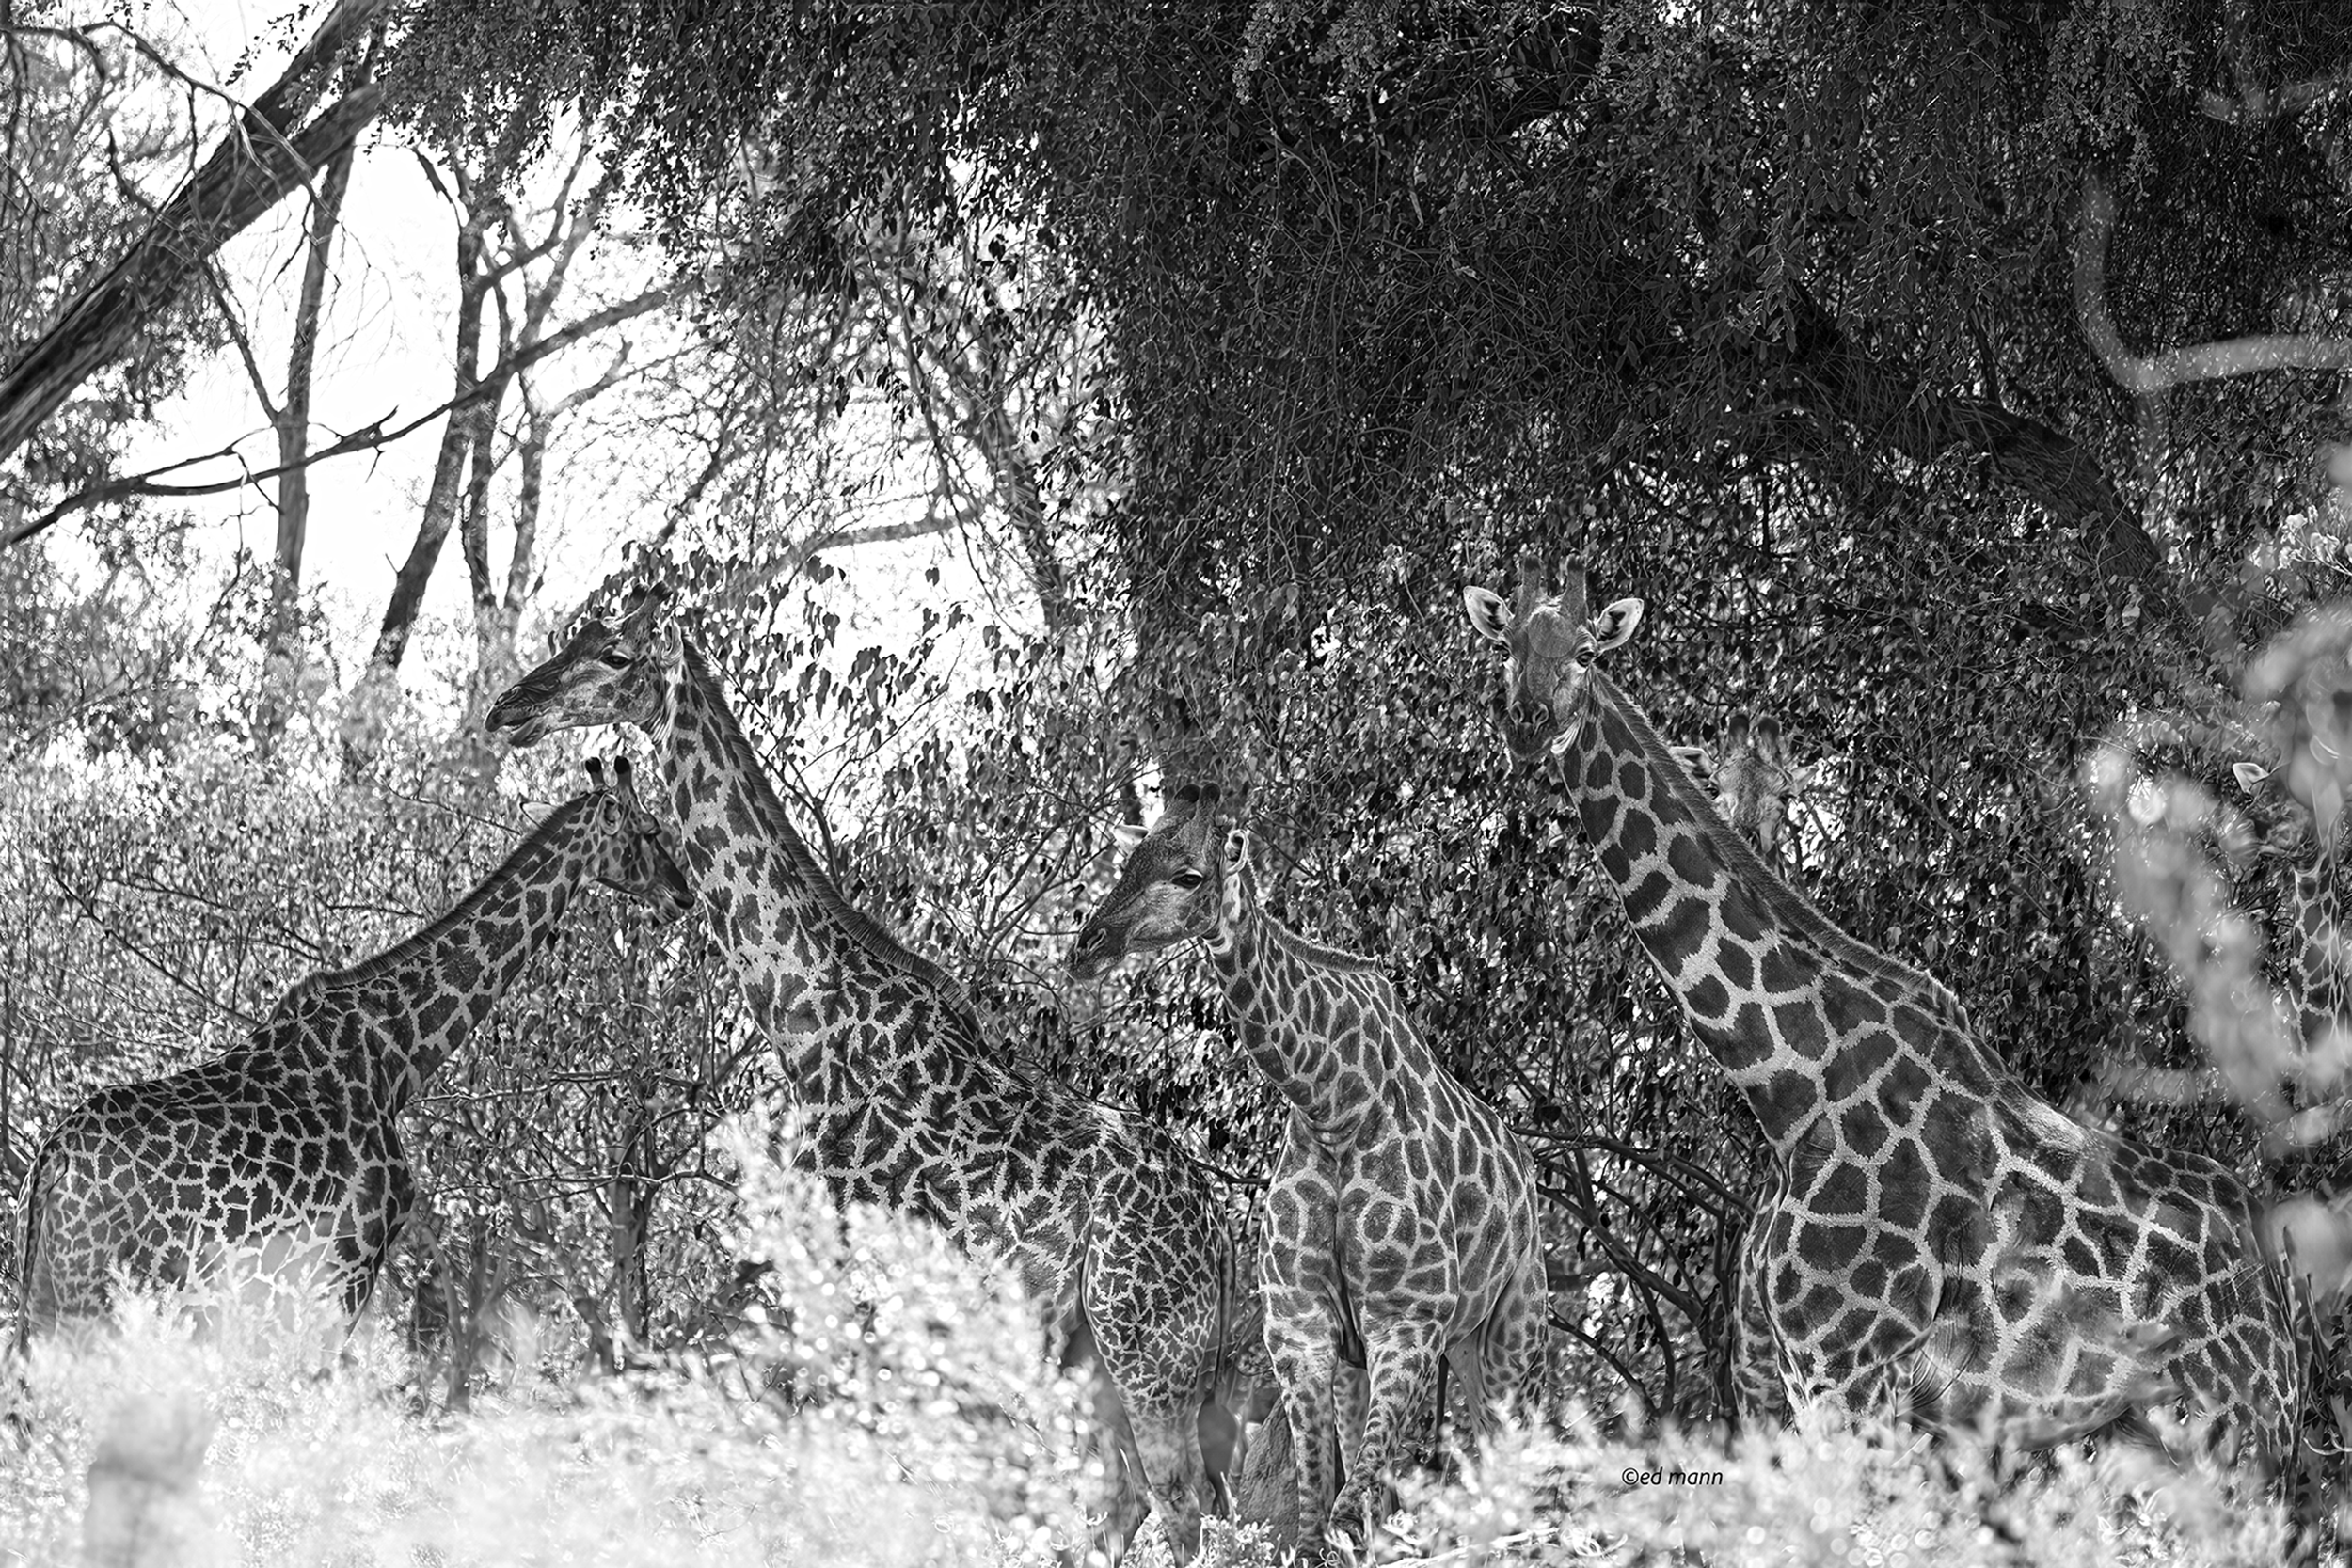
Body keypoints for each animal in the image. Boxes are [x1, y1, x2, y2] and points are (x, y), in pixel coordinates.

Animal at [12, 757, 695, 1346]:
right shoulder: (351, 1261)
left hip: (47, 1291)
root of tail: (51, 1161)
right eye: (651, 829)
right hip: (106, 1292)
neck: (399, 1053)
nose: (684, 895)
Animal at [483, 590, 1266, 1566]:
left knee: (1180, 1500)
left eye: (617, 654)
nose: (508, 706)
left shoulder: (842, 1287)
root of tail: (1221, 1233)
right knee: (1123, 1496)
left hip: (1147, 1347)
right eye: (576, 637)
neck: (803, 1014)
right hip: (1090, 1352)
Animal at [1068, 787, 1549, 1551]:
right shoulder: (1302, 1329)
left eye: (1188, 876)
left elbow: (1346, 1511)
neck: (1334, 1105)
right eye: (1130, 860)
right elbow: (1318, 1515)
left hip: (1514, 1329)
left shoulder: (1408, 1319)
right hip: (1437, 1351)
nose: (1086, 947)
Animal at [1459, 554, 2300, 1466]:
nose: (1527, 725)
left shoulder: (1851, 1373)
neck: (1787, 1081)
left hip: (2243, 1418)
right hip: (2136, 1430)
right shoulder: (1785, 1381)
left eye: (1585, 651)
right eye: (1505, 642)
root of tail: (2278, 1270)